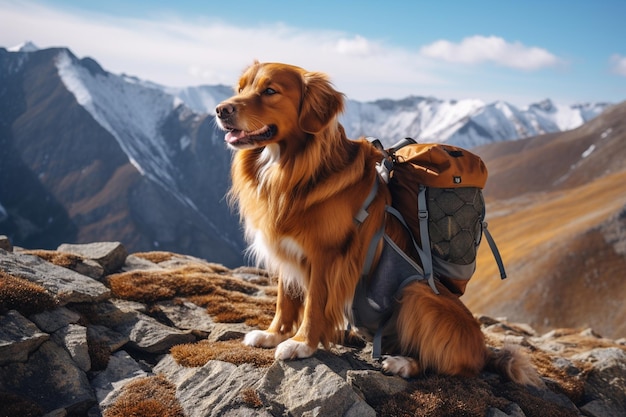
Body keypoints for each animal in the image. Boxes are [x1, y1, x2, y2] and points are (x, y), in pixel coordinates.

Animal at [217, 61, 540, 384]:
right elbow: (285, 299)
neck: (294, 167)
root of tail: (484, 349)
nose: (220, 110)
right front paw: (273, 334)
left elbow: (314, 305)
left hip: (416, 293)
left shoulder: (326, 256)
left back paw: (401, 363)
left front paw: (301, 344)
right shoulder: (289, 248)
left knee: (442, 363)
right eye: (241, 88)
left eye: (270, 91)